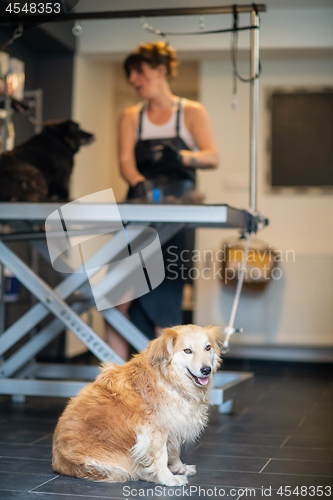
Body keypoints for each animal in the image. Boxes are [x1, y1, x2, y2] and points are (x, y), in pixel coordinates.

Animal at [52, 324, 220, 484]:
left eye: (208, 347)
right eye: (187, 350)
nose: (206, 370)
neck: (169, 379)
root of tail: (59, 462)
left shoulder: (174, 423)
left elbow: (174, 451)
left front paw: (179, 467)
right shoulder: (154, 430)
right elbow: (160, 457)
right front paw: (167, 478)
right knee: (134, 471)